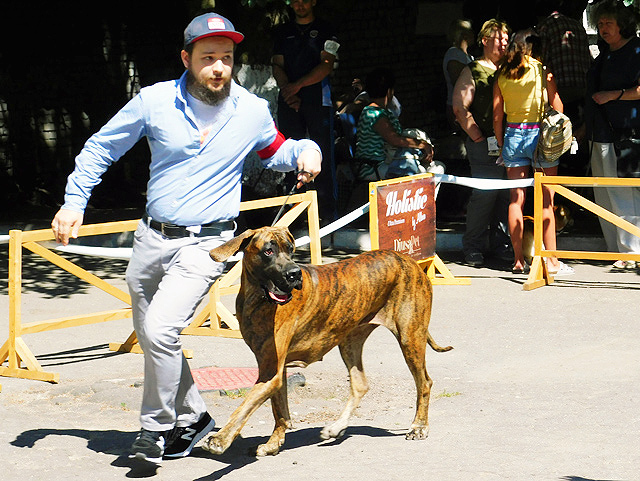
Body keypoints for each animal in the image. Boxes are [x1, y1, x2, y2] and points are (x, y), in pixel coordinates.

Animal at [202, 227, 452, 456]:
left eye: (291, 250)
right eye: (268, 251)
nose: (294, 274)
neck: (257, 297)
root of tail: (410, 261)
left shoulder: (270, 372)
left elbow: (245, 407)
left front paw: (221, 438)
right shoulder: (274, 368)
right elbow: (278, 408)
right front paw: (274, 443)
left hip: (410, 336)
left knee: (424, 382)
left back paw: (419, 426)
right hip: (350, 340)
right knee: (360, 384)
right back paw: (336, 428)